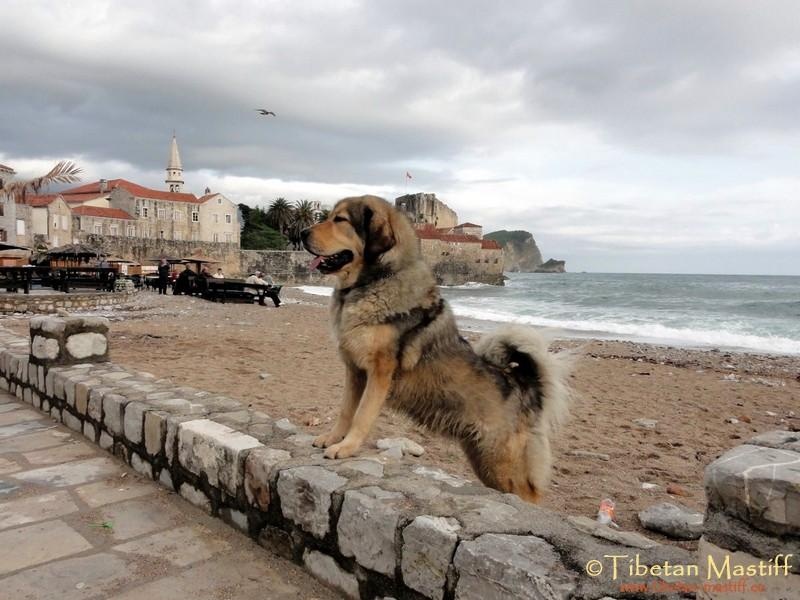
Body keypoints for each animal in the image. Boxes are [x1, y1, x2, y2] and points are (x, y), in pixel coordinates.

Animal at [300, 195, 568, 500]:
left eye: (340, 220)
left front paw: (347, 447)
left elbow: (362, 416)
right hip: (485, 461)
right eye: (329, 216)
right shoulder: (355, 372)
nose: (300, 233)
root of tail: (526, 384)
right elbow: (346, 411)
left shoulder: (379, 373)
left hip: (502, 463)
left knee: (529, 496)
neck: (376, 281)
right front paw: (333, 438)